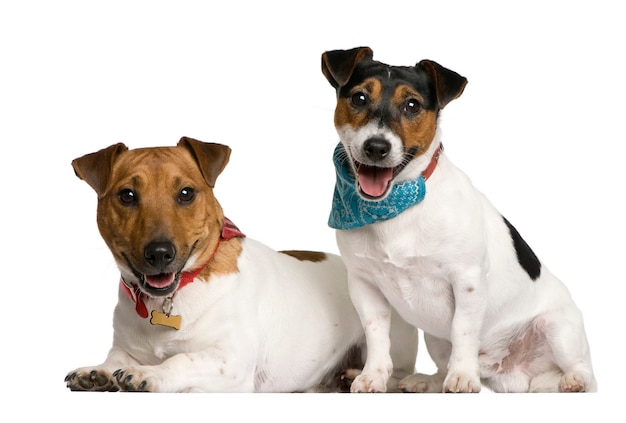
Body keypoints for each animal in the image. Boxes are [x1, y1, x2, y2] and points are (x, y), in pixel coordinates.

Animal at [64, 137, 414, 392]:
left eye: (186, 193)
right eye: (127, 195)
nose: (160, 253)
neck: (170, 300)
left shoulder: (231, 363)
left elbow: (181, 361)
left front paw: (148, 374)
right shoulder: (125, 347)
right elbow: (114, 359)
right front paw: (97, 371)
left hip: (389, 343)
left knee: (396, 372)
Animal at [322, 48, 596, 396]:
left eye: (412, 105)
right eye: (358, 98)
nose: (377, 147)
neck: (398, 207)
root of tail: (516, 375)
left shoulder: (467, 280)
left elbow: (464, 331)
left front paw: (464, 377)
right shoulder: (364, 285)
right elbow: (376, 335)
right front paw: (373, 376)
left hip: (558, 329)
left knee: (586, 370)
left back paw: (573, 381)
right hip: (436, 339)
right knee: (442, 365)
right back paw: (423, 381)